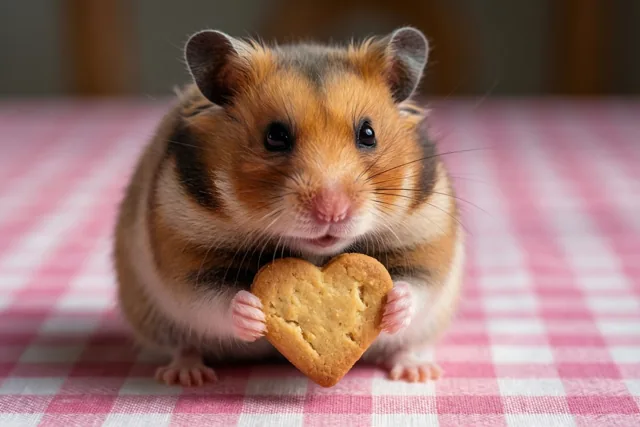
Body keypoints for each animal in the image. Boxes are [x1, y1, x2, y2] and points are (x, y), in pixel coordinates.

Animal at [114, 26, 464, 386]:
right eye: (275, 136)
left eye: (368, 133)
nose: (332, 211)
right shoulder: (185, 253)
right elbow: (214, 299)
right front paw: (252, 312)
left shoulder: (424, 239)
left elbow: (417, 285)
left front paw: (396, 303)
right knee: (184, 344)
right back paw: (187, 375)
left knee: (412, 344)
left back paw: (417, 372)